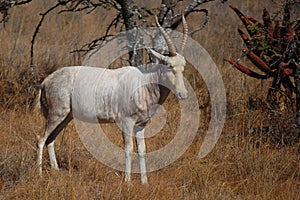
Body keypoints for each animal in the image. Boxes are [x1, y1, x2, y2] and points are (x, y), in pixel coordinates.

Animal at [36, 16, 189, 184]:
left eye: (183, 66)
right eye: (169, 65)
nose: (183, 94)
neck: (145, 82)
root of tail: (46, 81)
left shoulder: (141, 124)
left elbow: (142, 150)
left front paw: (144, 182)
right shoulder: (126, 122)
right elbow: (128, 149)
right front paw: (128, 181)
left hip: (66, 117)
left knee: (50, 139)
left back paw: (56, 171)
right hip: (56, 114)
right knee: (41, 139)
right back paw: (39, 174)